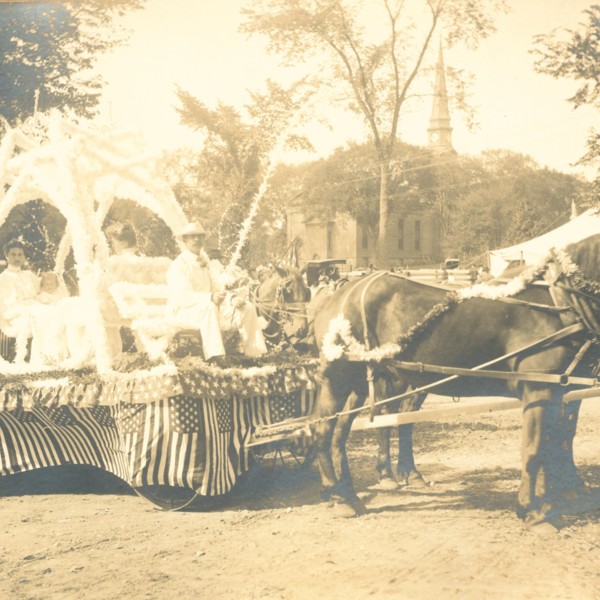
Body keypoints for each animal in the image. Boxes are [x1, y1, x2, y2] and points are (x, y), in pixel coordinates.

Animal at [310, 237, 600, 528]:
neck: (561, 302)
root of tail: (336, 295)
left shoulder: (563, 390)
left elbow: (561, 440)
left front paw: (563, 495)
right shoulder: (538, 389)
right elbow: (535, 448)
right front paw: (533, 510)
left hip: (360, 383)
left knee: (341, 432)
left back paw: (347, 492)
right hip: (339, 377)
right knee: (322, 428)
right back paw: (341, 496)